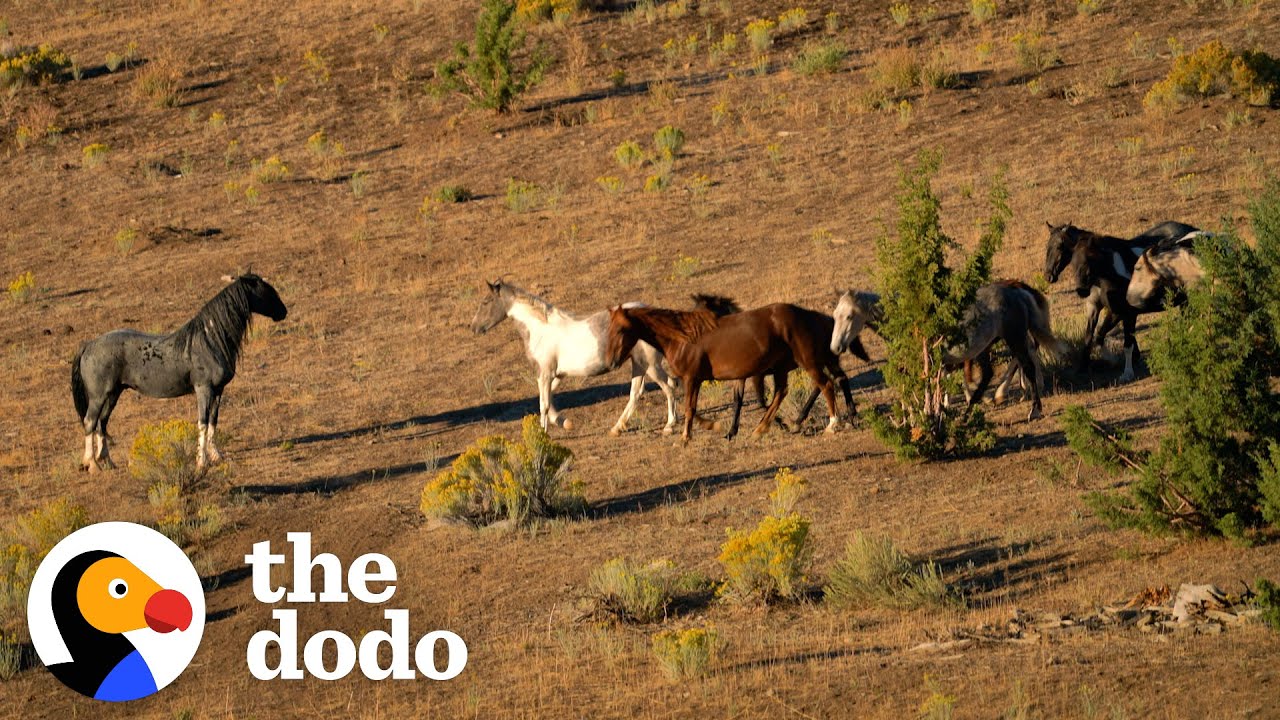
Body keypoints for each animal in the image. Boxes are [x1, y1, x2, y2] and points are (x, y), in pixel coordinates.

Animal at [70, 272, 288, 471]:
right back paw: (92, 464)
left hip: (114, 393)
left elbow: (213, 421)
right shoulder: (203, 389)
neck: (209, 340)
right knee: (90, 421)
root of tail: (89, 345)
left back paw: (108, 462)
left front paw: (216, 456)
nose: (283, 312)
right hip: (99, 396)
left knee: (102, 422)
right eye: (266, 291)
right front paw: (202, 462)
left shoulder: (218, 390)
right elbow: (202, 423)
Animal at [471, 279, 680, 435]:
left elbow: (543, 404)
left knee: (668, 387)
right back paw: (617, 428)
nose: (473, 328)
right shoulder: (555, 375)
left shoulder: (545, 373)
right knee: (637, 393)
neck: (541, 330)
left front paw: (545, 433)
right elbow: (548, 399)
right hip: (639, 364)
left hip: (650, 365)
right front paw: (563, 422)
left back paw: (669, 426)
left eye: (486, 302)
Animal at [606, 301, 844, 440]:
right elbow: (696, 408)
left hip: (807, 362)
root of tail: (810, 315)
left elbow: (689, 409)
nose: (611, 361)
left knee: (826, 385)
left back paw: (832, 425)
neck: (682, 338)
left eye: (621, 329)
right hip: (782, 368)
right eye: (609, 329)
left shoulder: (692, 378)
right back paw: (762, 429)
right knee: (781, 392)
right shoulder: (697, 379)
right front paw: (717, 427)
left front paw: (686, 437)